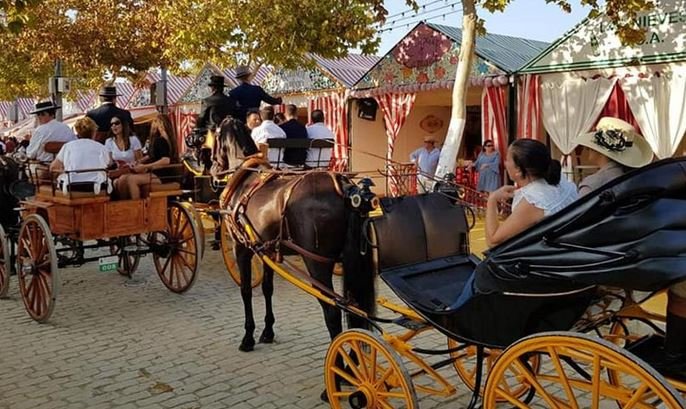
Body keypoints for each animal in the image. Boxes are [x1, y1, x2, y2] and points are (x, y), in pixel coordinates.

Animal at [214, 117, 376, 350]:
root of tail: (344, 187)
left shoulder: (241, 248)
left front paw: (248, 336)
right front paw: (268, 331)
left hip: (316, 262)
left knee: (333, 310)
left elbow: (245, 290)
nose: (214, 166)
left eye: (215, 136)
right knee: (356, 308)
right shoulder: (267, 250)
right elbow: (267, 288)